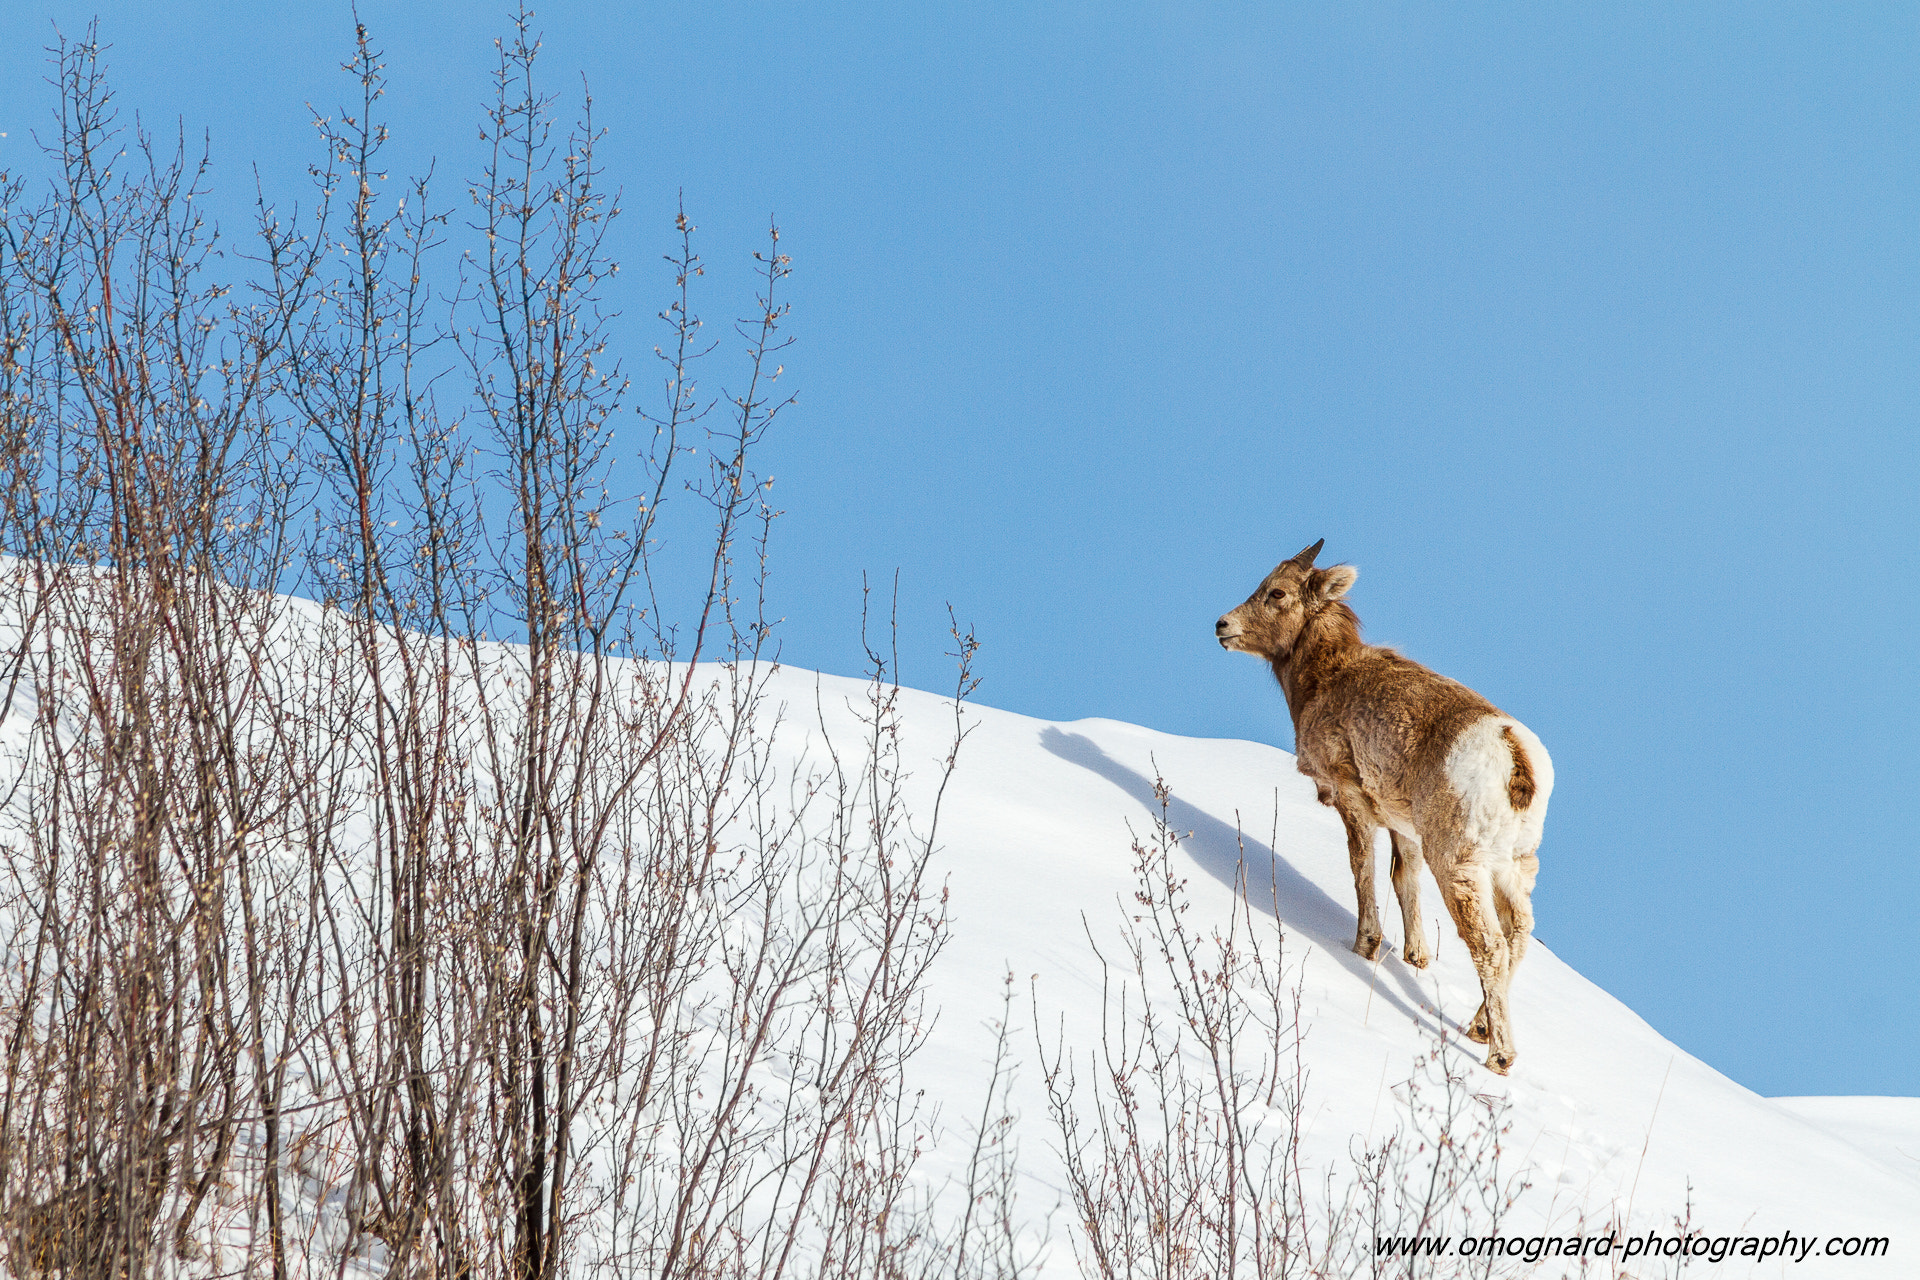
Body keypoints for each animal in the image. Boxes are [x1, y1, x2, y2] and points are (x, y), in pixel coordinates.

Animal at [1215, 539, 1552, 1073]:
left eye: (1277, 592)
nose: (1222, 626)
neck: (1325, 678)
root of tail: (1515, 759)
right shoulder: (1403, 826)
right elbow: (1402, 878)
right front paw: (1416, 958)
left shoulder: (1352, 797)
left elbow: (1363, 870)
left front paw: (1365, 946)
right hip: (1513, 866)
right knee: (1519, 933)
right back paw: (1477, 1029)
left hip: (1458, 864)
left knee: (1491, 946)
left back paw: (1499, 1055)